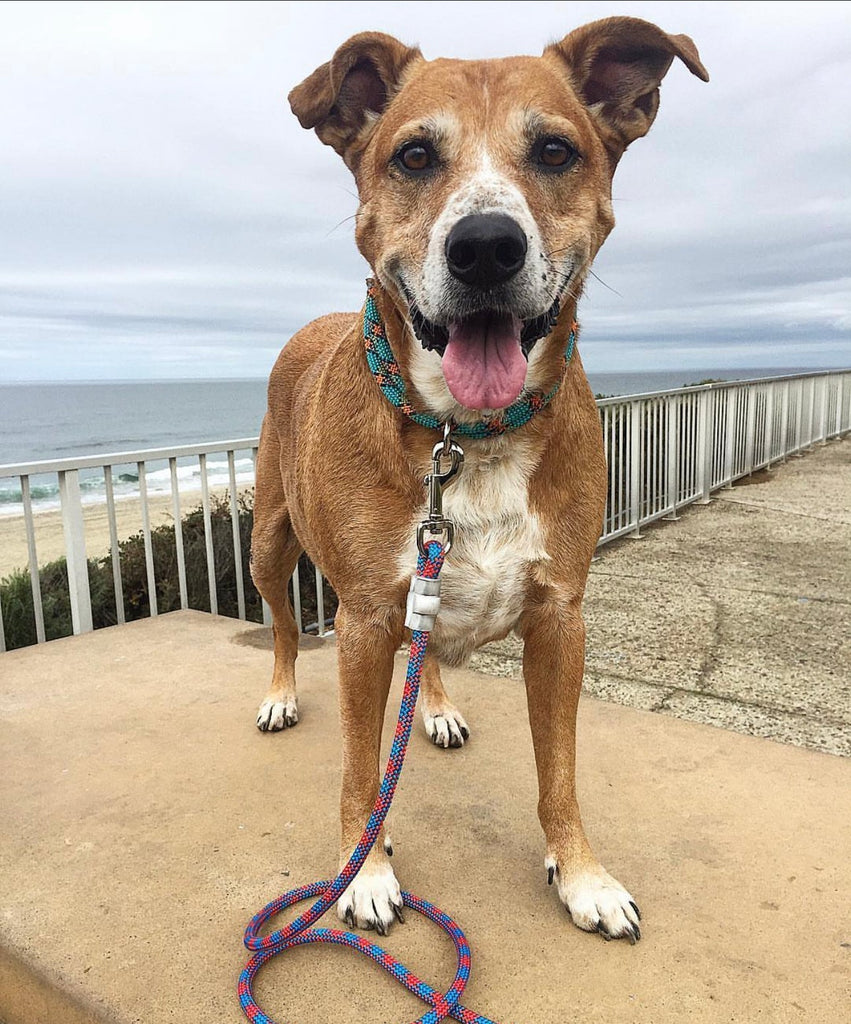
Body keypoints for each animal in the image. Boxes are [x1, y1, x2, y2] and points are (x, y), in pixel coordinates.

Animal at [249, 16, 708, 942]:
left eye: (556, 150)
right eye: (415, 155)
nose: (487, 247)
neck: (466, 436)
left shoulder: (561, 618)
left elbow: (558, 769)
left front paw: (580, 873)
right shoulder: (362, 621)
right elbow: (361, 770)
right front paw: (362, 871)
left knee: (428, 646)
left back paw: (433, 706)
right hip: (269, 540)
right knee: (280, 623)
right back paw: (281, 693)